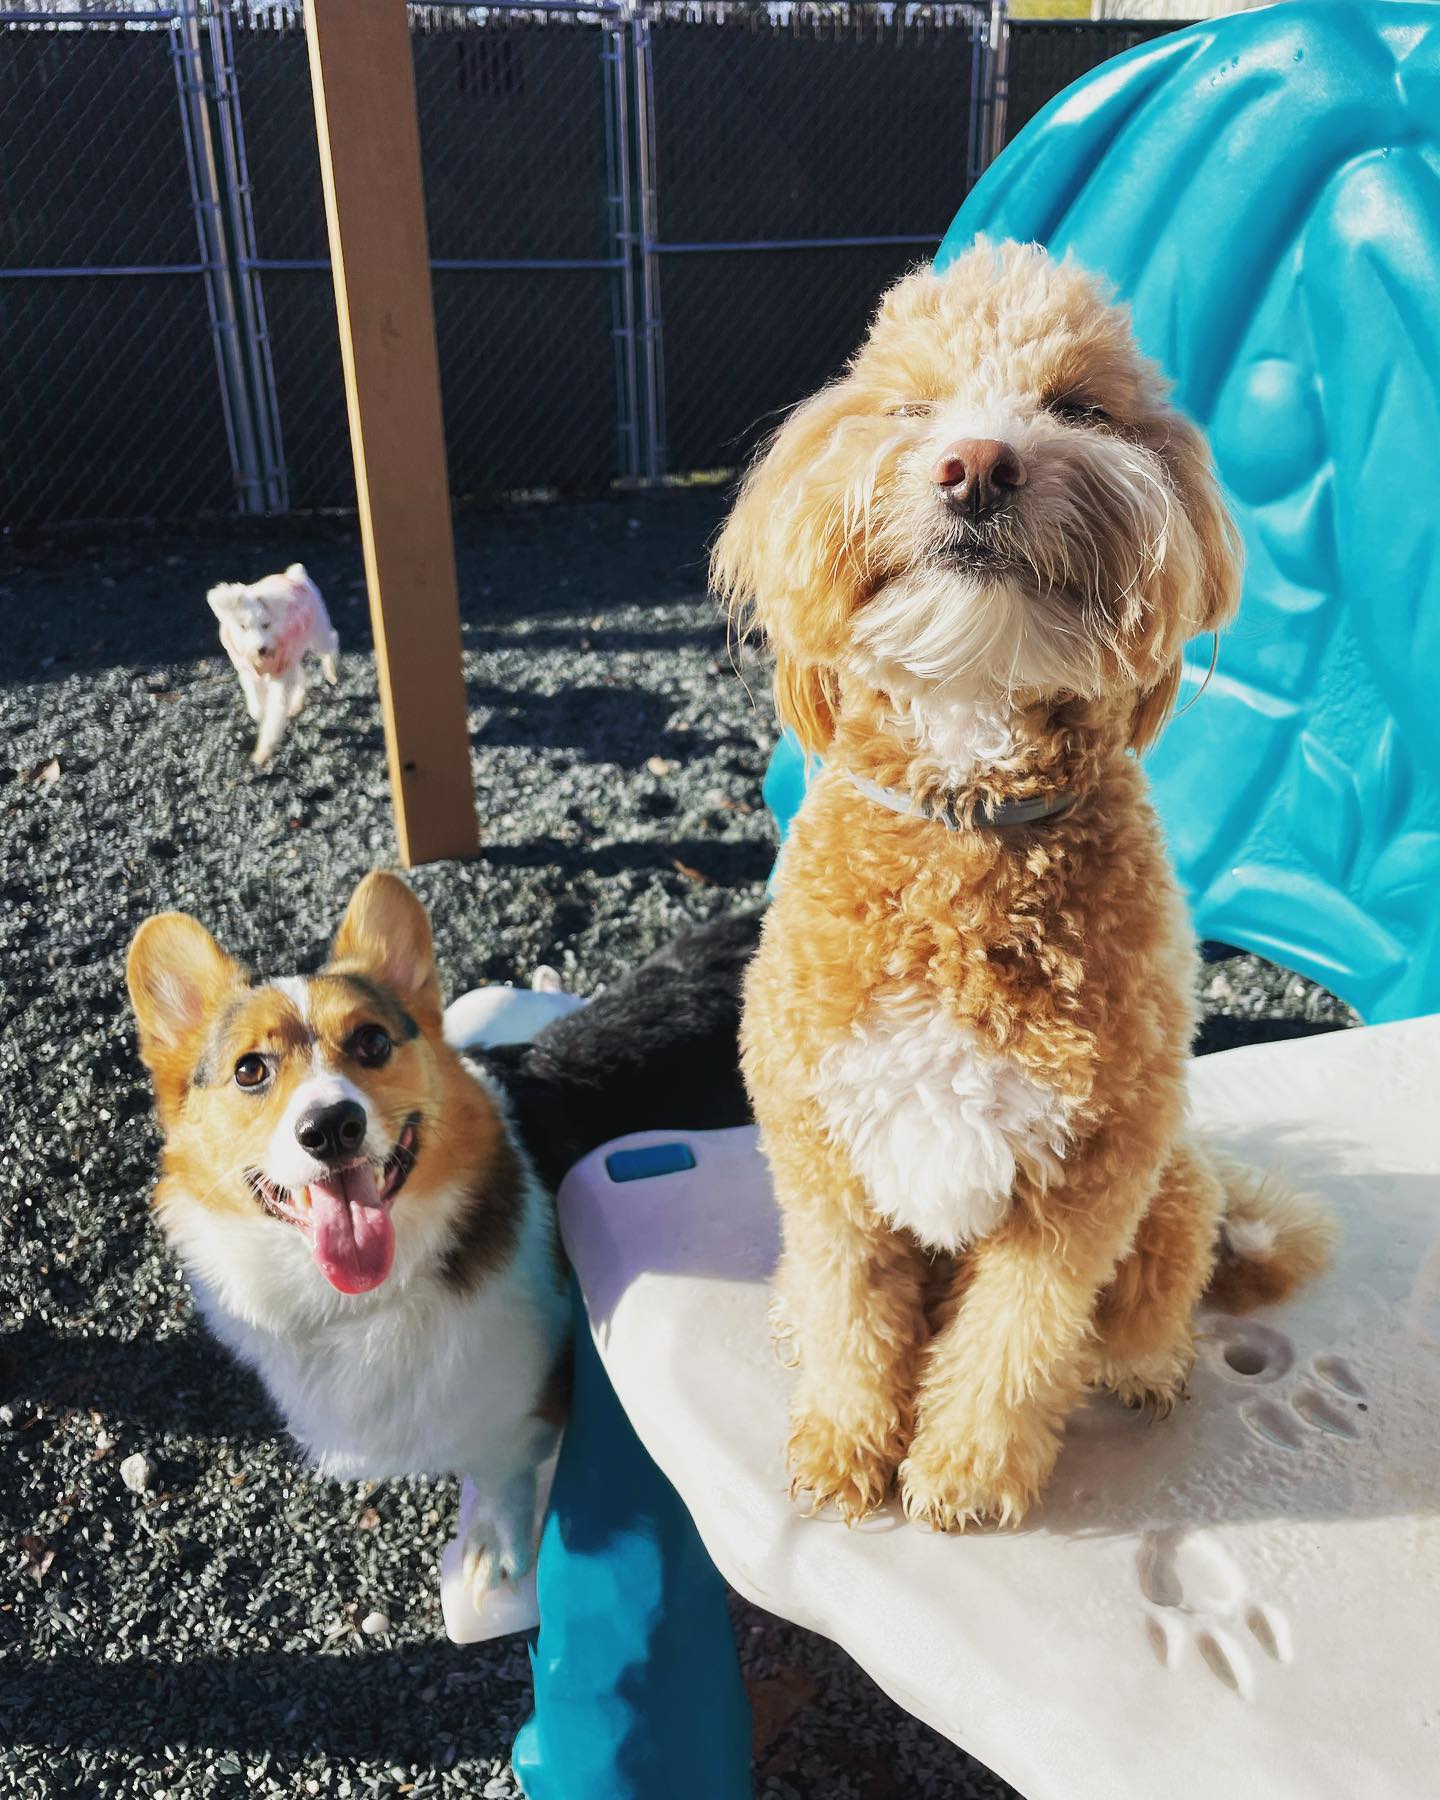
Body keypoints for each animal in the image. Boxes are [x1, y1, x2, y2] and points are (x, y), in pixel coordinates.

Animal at [207, 561, 340, 759]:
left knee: (331, 641)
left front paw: (263, 750)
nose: (261, 649)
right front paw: (260, 713)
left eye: (266, 624)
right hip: (294, 654)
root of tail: (296, 576)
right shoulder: (248, 673)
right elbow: (256, 705)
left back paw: (331, 671)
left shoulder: (279, 676)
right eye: (243, 626)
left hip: (317, 633)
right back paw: (295, 704)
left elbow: (275, 712)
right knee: (300, 675)